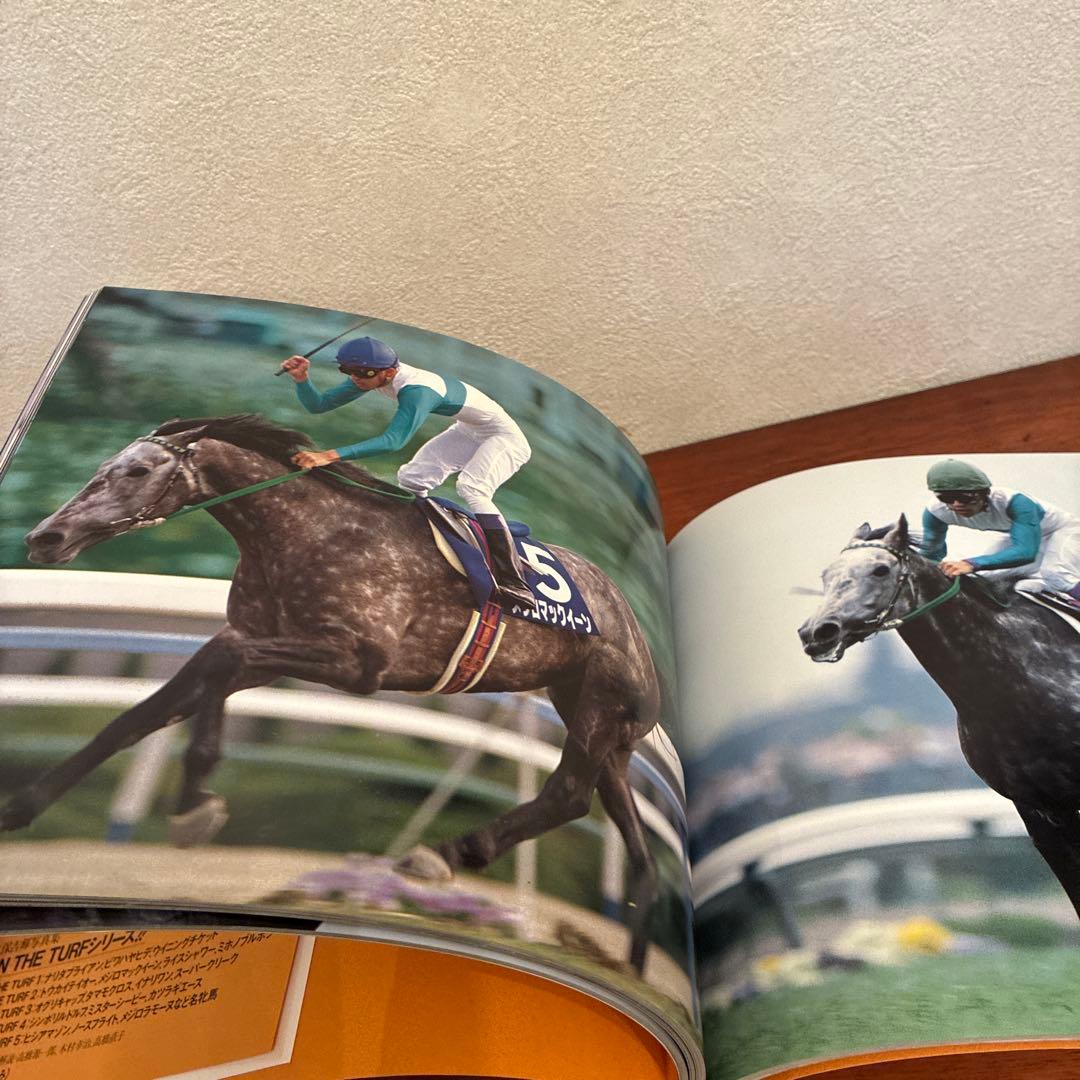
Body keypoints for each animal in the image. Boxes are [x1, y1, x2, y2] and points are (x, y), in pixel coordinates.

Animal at [14, 414, 662, 971]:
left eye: (138, 470)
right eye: (106, 465)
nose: (45, 536)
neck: (306, 531)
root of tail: (639, 634)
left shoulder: (357, 661)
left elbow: (220, 670)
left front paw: (196, 802)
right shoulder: (260, 637)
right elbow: (143, 714)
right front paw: (25, 803)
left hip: (597, 706)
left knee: (569, 794)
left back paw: (446, 854)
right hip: (593, 719)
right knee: (637, 848)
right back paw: (634, 964)